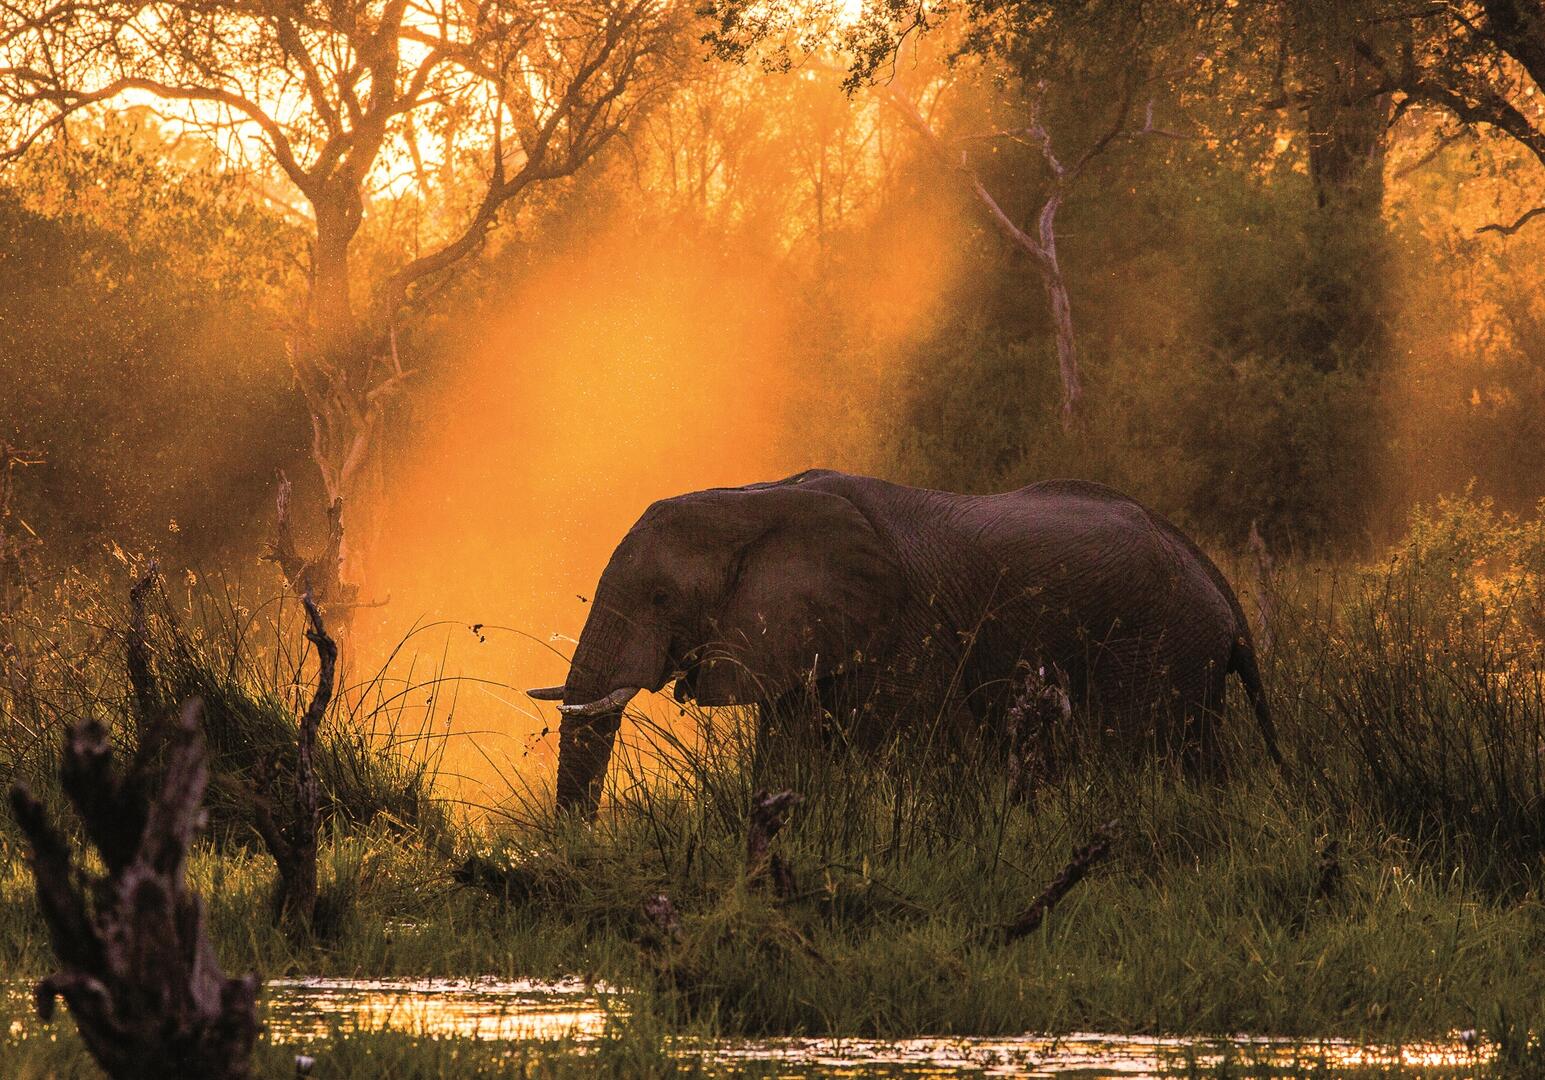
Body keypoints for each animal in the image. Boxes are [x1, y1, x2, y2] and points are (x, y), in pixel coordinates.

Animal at [528, 469, 1282, 816]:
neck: (755, 496)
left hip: (1158, 648)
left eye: (661, 598)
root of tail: (1222, 589)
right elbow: (788, 755)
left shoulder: (902, 634)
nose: (573, 845)